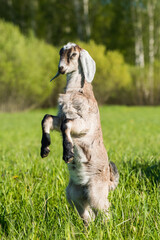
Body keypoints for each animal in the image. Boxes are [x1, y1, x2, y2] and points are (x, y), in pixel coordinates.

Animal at [40, 43, 119, 225]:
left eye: (74, 54)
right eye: (60, 53)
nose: (61, 68)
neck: (76, 91)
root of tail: (108, 182)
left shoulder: (83, 122)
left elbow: (67, 125)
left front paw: (68, 153)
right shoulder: (60, 116)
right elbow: (47, 119)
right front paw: (45, 149)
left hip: (96, 193)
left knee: (105, 212)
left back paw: (108, 227)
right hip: (74, 196)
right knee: (88, 215)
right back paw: (87, 228)